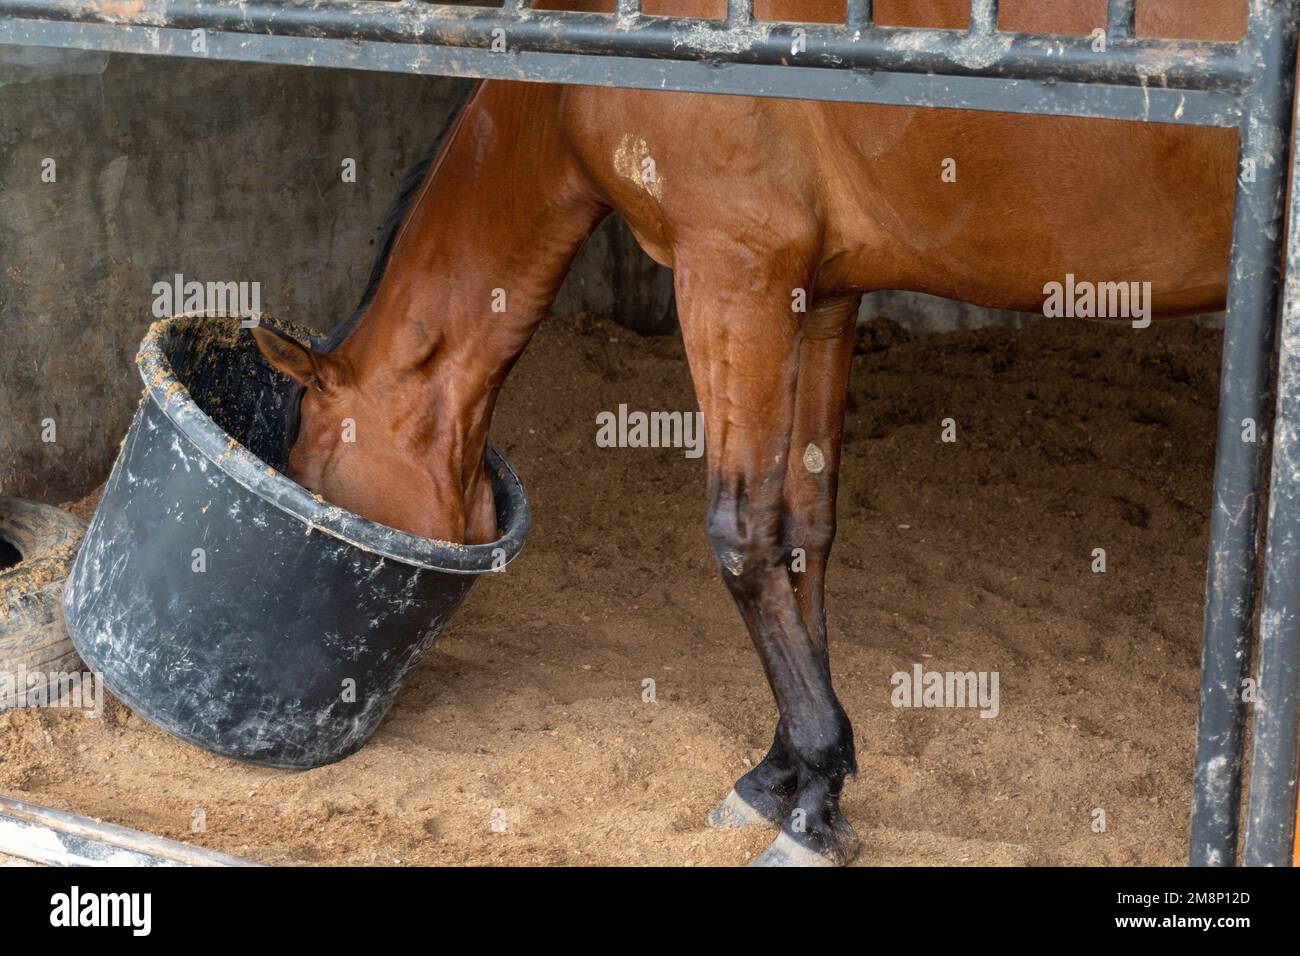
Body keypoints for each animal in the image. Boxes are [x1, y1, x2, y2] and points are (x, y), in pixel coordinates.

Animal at [250, 1, 1237, 868]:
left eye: (317, 471)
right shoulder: (820, 296)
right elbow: (805, 528)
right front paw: (787, 778)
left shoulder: (732, 274)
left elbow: (742, 534)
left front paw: (814, 800)